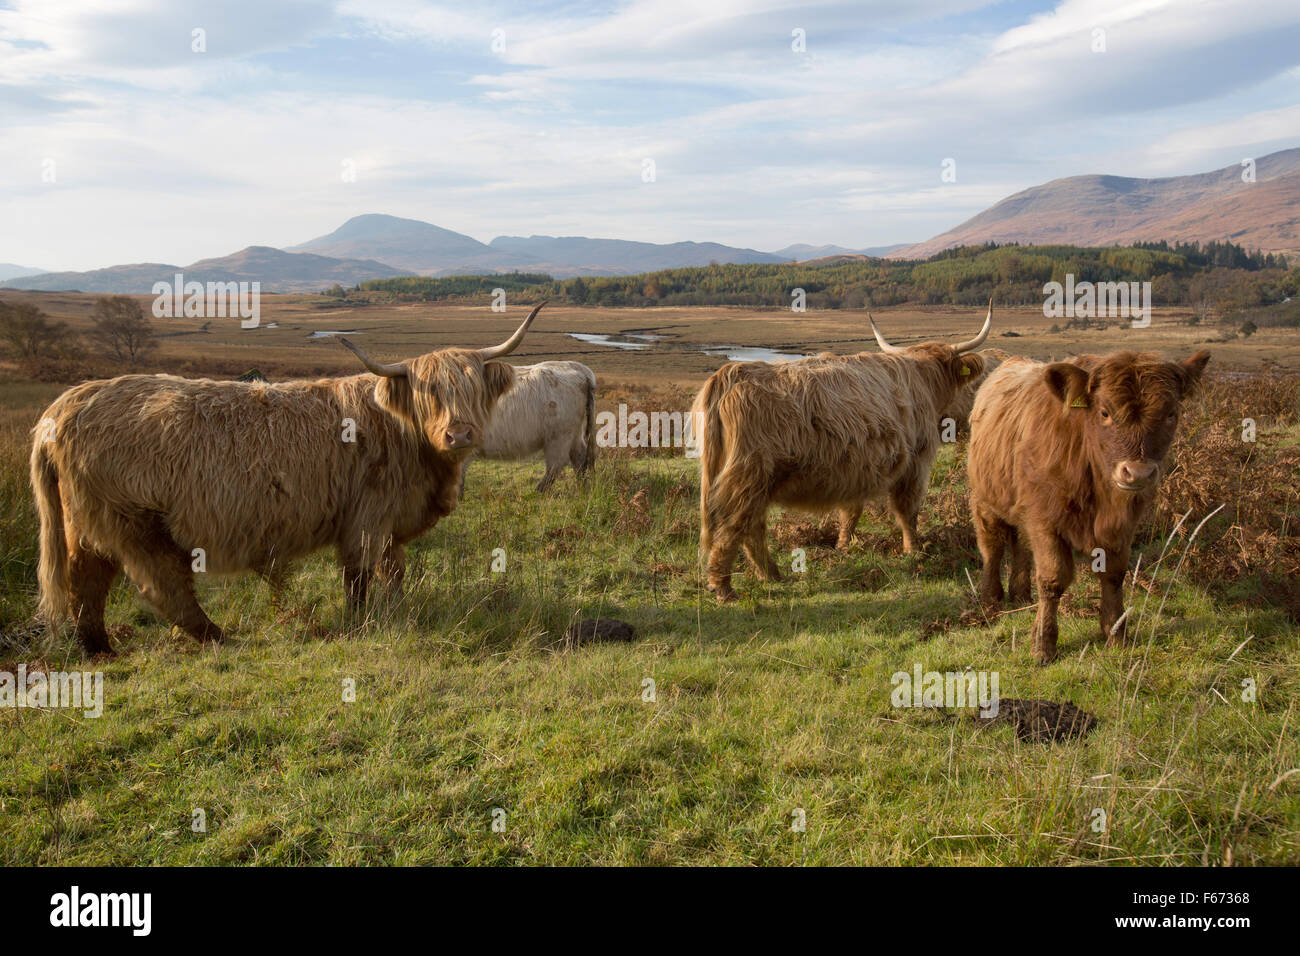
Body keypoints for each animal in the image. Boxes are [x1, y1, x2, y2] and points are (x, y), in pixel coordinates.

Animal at [29, 303, 548, 655]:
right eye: (430, 393)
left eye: (472, 388)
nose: (459, 433)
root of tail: (66, 403)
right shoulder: (365, 518)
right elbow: (360, 575)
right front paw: (359, 622)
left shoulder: (388, 524)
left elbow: (395, 571)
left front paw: (399, 608)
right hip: (133, 521)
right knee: (159, 582)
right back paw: (214, 636)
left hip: (87, 523)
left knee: (86, 579)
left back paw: (99, 648)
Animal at [696, 306, 987, 600]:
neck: (922, 378)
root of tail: (732, 372)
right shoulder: (915, 463)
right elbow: (908, 511)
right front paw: (913, 551)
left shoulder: (856, 468)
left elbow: (850, 512)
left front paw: (843, 546)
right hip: (748, 476)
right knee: (734, 526)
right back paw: (723, 587)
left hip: (757, 483)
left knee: (752, 527)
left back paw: (772, 575)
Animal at [972, 348, 1211, 660]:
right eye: (1105, 412)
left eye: (1171, 413)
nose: (1138, 472)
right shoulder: (1044, 519)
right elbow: (1053, 578)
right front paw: (1043, 645)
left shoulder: (1123, 524)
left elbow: (1114, 574)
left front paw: (1116, 633)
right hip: (985, 500)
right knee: (993, 546)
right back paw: (991, 600)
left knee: (1021, 545)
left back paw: (1020, 594)